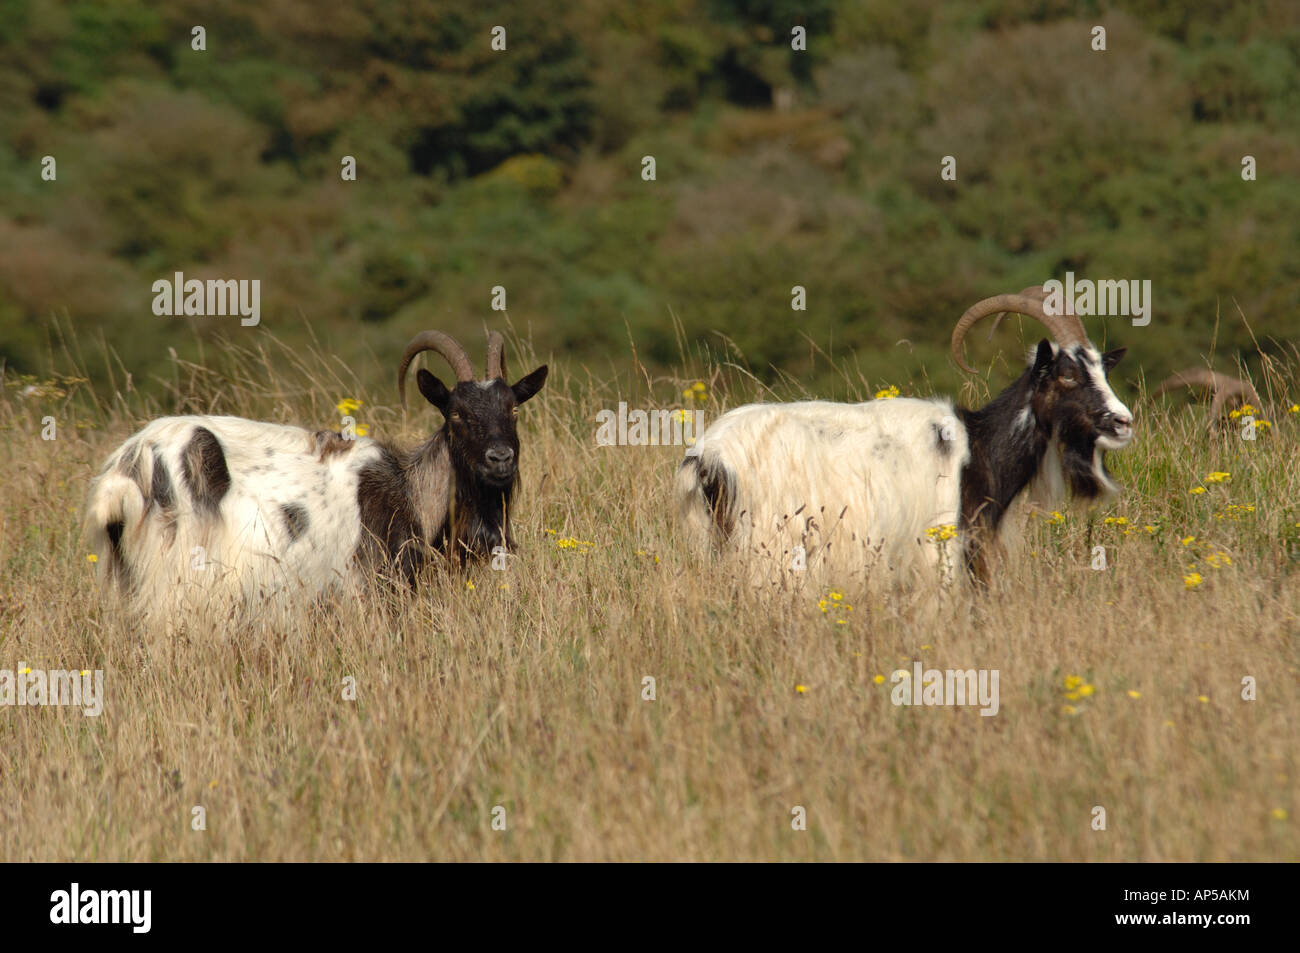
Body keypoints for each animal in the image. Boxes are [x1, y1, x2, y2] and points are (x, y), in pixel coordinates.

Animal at [676, 284, 1133, 579]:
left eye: (1104, 370)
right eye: (1067, 375)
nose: (1123, 422)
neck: (978, 448)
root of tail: (707, 457)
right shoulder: (942, 548)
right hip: (769, 544)